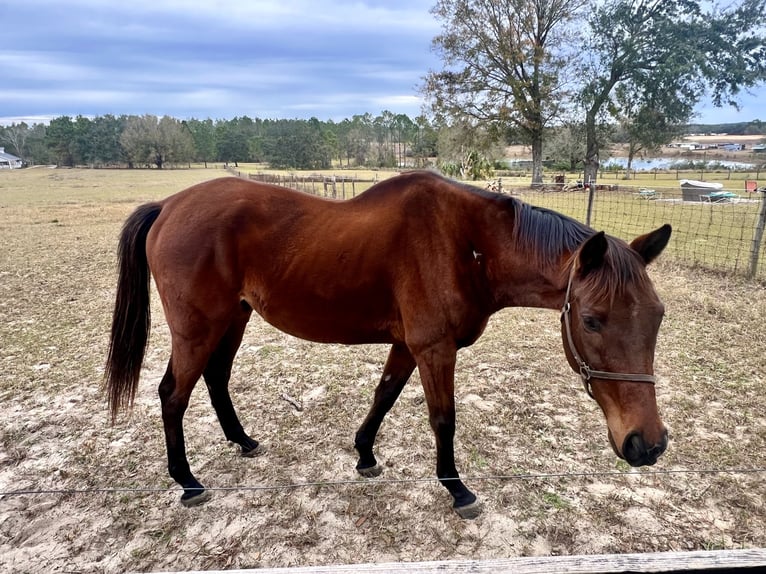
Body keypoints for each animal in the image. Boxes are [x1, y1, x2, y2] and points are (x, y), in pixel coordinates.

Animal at [106, 169, 672, 520]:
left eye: (658, 318)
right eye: (593, 321)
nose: (647, 444)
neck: (467, 245)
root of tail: (169, 206)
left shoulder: (408, 346)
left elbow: (384, 395)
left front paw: (364, 455)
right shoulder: (434, 348)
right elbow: (442, 419)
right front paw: (456, 488)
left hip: (233, 319)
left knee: (216, 378)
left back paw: (242, 441)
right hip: (199, 327)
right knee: (173, 395)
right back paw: (187, 481)